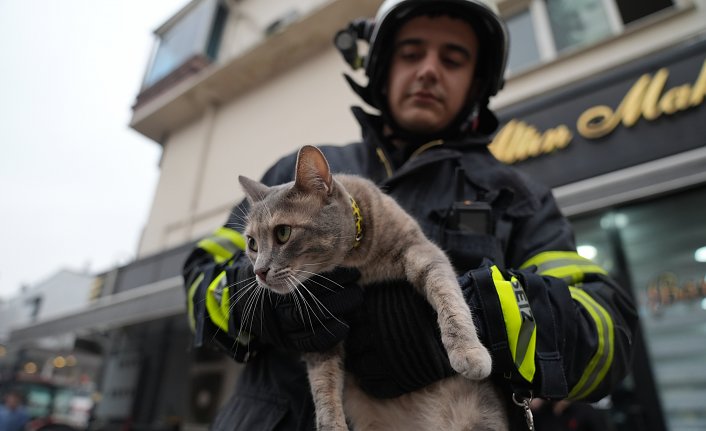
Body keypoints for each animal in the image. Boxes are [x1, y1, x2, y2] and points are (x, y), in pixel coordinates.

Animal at [236, 147, 506, 430]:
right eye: (252, 243)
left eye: (283, 233)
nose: (259, 271)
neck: (355, 264)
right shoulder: (322, 332)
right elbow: (323, 384)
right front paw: (331, 425)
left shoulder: (421, 250)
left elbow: (448, 298)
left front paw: (468, 352)